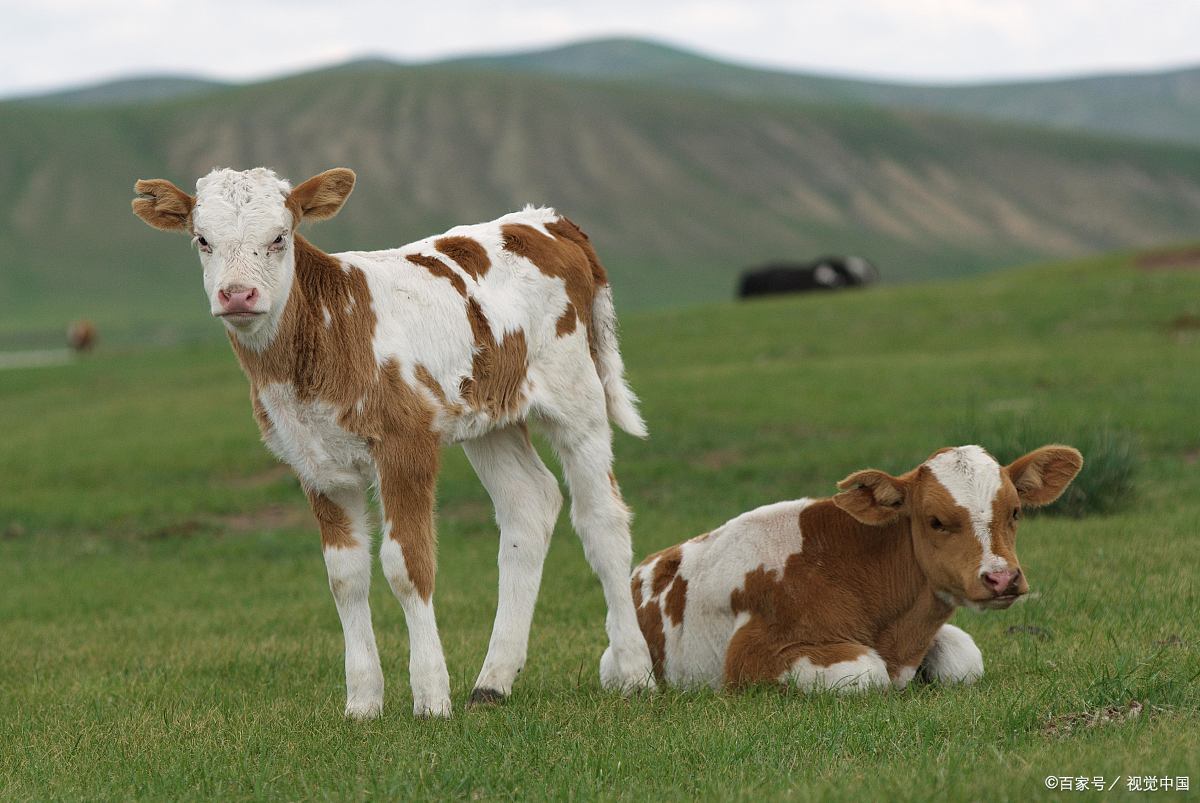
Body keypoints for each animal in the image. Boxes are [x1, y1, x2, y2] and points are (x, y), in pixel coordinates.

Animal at [133, 165, 657, 715]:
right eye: (202, 239)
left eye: (279, 237)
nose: (237, 295)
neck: (328, 330)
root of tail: (548, 221)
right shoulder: (314, 463)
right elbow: (345, 576)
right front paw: (363, 701)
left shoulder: (406, 445)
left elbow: (407, 565)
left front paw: (430, 696)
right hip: (492, 418)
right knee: (528, 506)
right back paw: (492, 681)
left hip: (577, 396)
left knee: (602, 520)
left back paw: (635, 670)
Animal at [633, 441, 1084, 691]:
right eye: (935, 520)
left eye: (1015, 512)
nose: (1002, 578)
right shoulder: (751, 656)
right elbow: (869, 672)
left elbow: (964, 658)